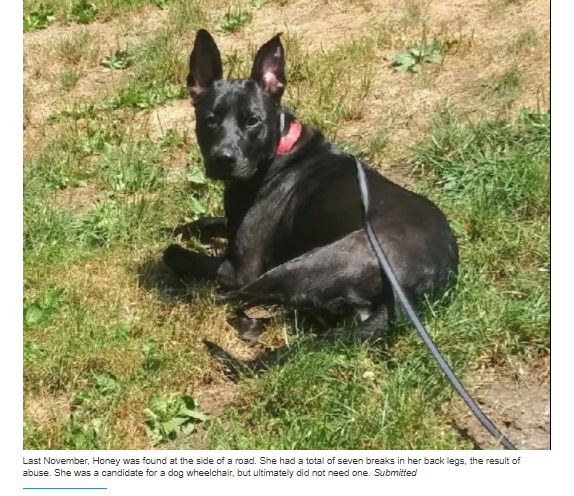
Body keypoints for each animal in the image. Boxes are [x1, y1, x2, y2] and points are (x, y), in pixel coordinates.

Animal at [164, 30, 462, 340]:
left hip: (310, 263)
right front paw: (178, 228)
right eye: (209, 119)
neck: (279, 150)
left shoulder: (238, 268)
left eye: (253, 121)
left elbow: (172, 252)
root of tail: (412, 293)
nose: (223, 158)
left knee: (238, 295)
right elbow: (208, 221)